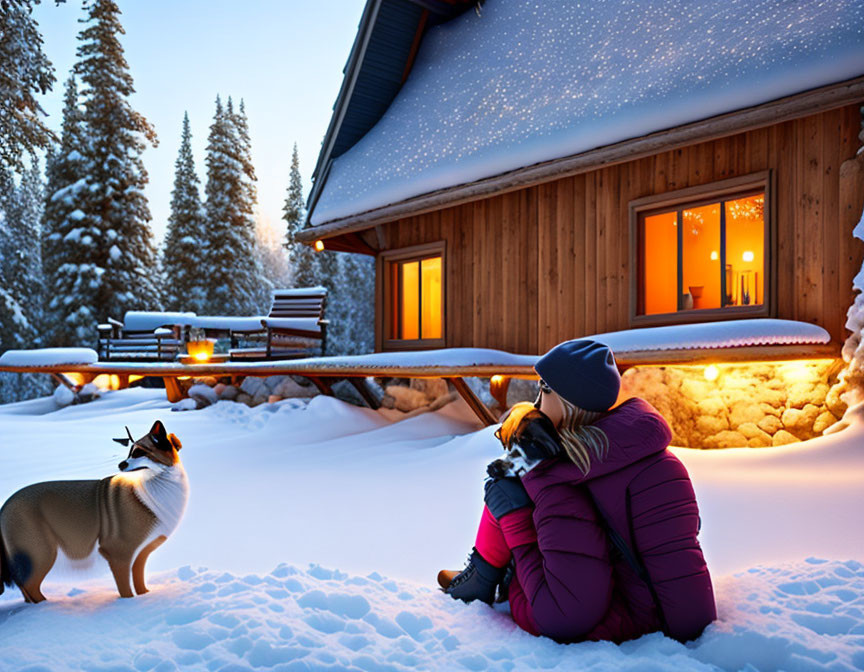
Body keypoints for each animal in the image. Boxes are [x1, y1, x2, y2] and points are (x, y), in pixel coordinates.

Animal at [0, 420, 188, 604]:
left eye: (140, 452)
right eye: (130, 452)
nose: (121, 464)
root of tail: (4, 506)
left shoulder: (141, 553)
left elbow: (139, 581)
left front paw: (145, 597)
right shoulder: (118, 552)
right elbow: (125, 589)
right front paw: (128, 605)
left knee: (25, 589)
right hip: (40, 553)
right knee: (30, 586)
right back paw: (45, 607)